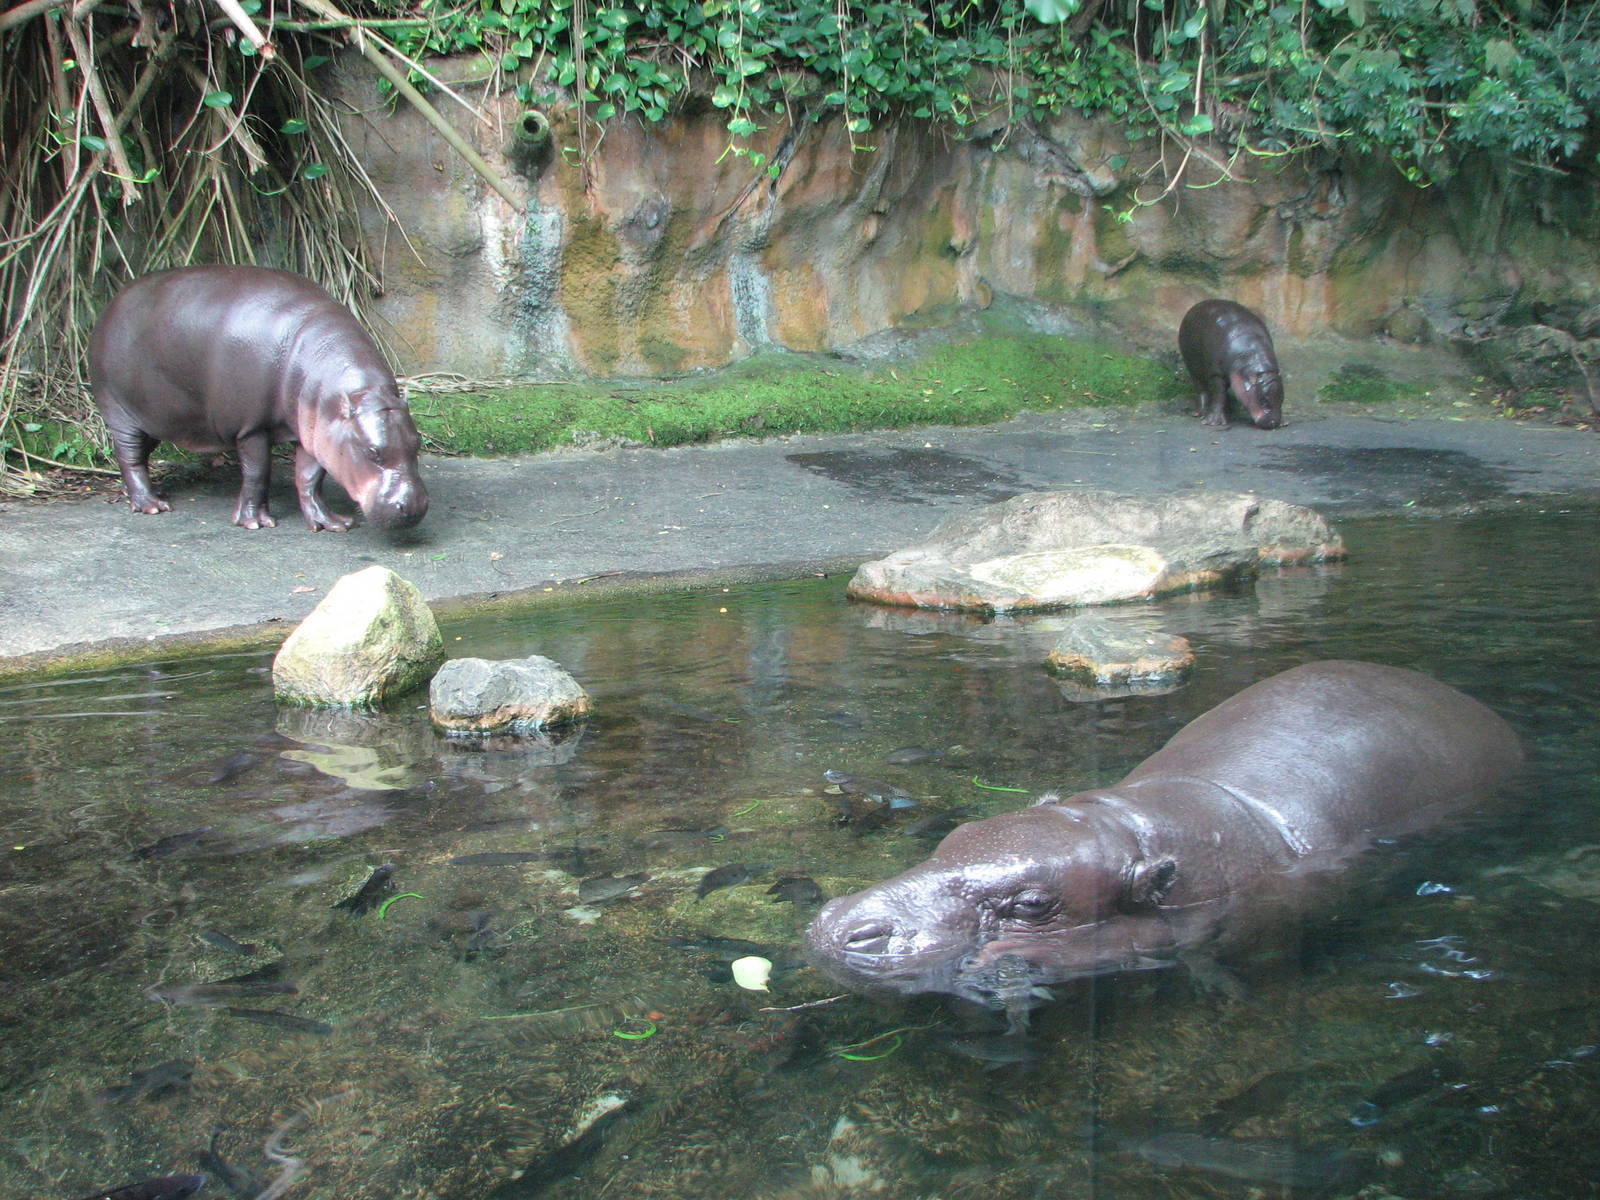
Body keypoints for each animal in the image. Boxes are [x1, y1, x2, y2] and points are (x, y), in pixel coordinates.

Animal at [89, 265, 428, 531]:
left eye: (417, 444)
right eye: (371, 452)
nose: (413, 507)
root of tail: (113, 301)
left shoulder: (317, 432)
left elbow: (309, 476)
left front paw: (331, 523)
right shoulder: (251, 427)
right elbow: (257, 471)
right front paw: (255, 522)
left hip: (154, 416)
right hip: (118, 411)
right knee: (130, 456)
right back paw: (151, 504)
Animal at [1178, 299, 1284, 429]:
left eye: (1282, 399)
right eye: (1263, 401)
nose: (1273, 423)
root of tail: (1198, 305)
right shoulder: (1216, 374)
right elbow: (1219, 394)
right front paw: (1213, 422)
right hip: (1192, 365)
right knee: (1201, 388)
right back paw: (1200, 412)